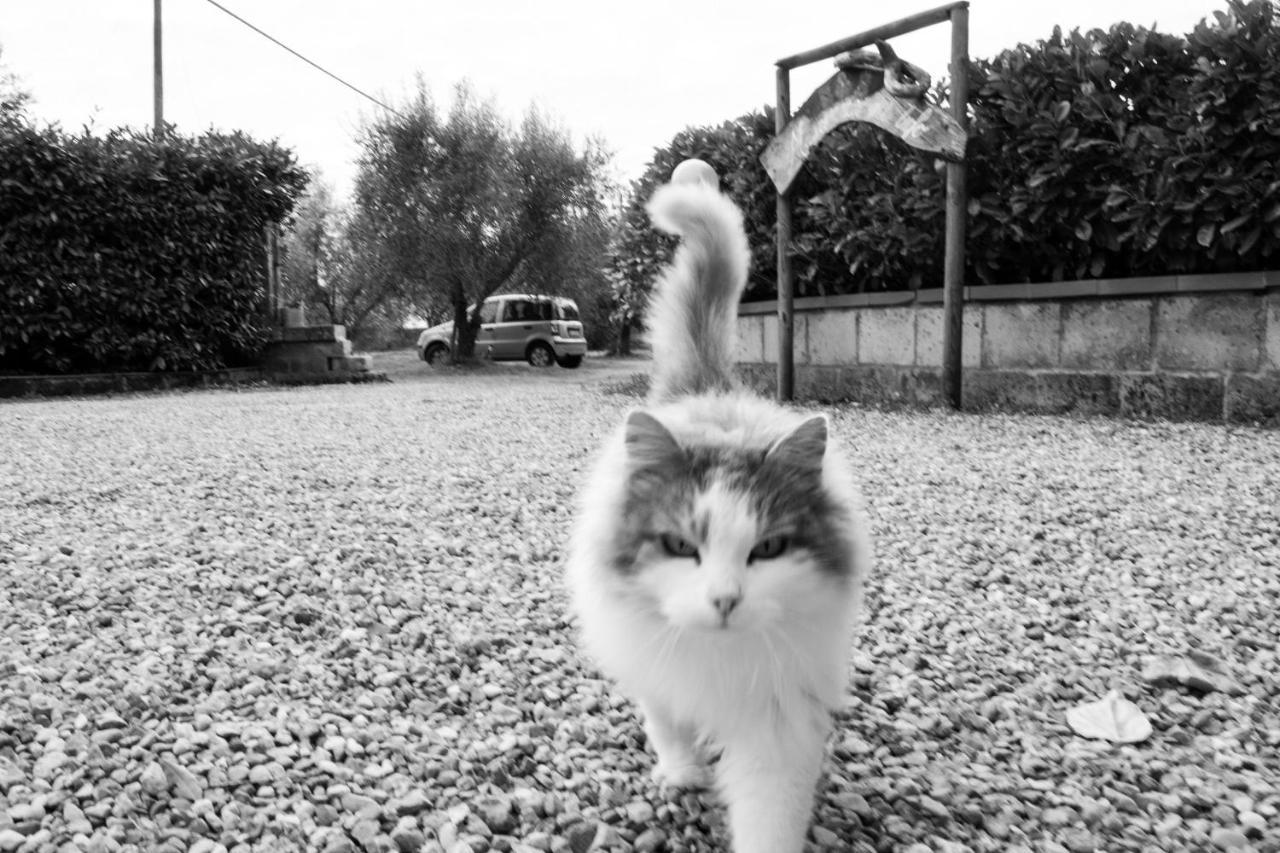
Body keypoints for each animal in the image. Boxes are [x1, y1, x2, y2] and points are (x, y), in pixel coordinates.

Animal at [568, 167, 875, 850]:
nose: (726, 601)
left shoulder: (777, 724)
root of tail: (709, 390)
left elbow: (768, 818)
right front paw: (684, 776)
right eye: (683, 547)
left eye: (769, 549)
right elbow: (669, 725)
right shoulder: (659, 671)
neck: (719, 661)